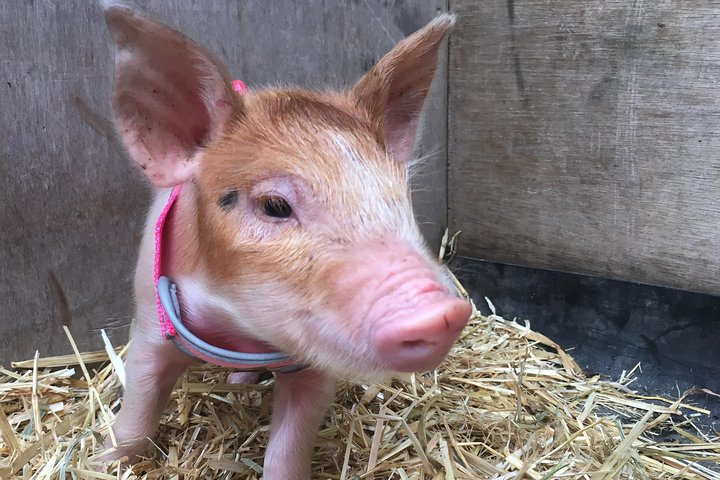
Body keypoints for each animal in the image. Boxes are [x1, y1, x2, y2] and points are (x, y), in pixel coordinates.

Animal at [100, 4, 471, 479]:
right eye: (274, 205)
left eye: (398, 197)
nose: (442, 313)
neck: (239, 329)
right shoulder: (149, 322)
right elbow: (136, 414)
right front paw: (103, 460)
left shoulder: (314, 366)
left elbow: (289, 447)